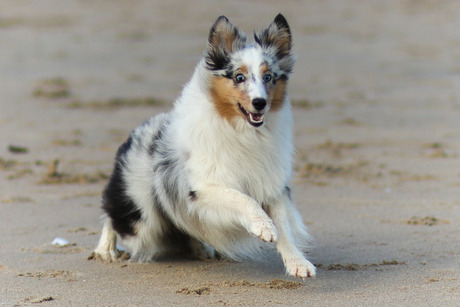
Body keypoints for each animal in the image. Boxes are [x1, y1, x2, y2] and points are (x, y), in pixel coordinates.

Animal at [93, 13, 316, 280]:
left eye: (268, 77)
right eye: (239, 77)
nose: (260, 103)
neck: (244, 132)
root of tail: (136, 133)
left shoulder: (272, 185)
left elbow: (283, 228)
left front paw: (298, 263)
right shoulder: (203, 189)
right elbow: (242, 198)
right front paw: (263, 226)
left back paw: (200, 249)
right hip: (140, 210)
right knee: (113, 214)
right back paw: (105, 249)